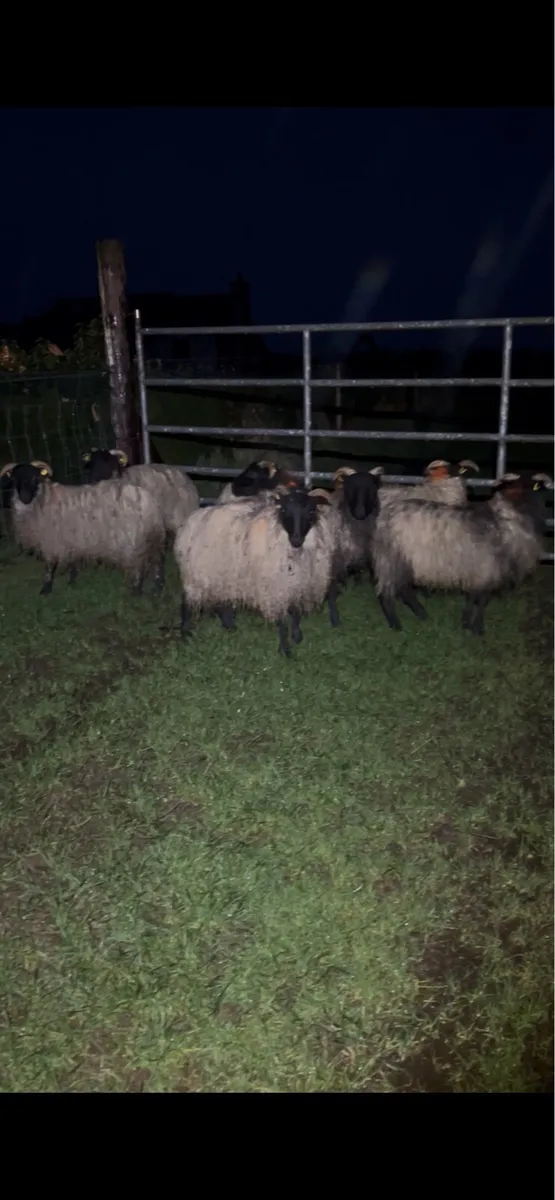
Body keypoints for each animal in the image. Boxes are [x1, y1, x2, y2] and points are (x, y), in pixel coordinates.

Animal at [0, 459, 166, 596]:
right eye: (14, 479)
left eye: (35, 479)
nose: (24, 498)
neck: (43, 500)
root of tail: (149, 500)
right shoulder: (71, 540)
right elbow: (72, 561)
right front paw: (72, 581)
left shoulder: (52, 541)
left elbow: (49, 565)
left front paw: (45, 589)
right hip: (150, 535)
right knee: (157, 559)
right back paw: (157, 588)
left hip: (133, 539)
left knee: (139, 564)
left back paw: (136, 591)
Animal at [173, 487, 340, 655]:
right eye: (284, 510)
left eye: (311, 511)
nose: (296, 540)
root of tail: (192, 520)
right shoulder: (275, 587)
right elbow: (282, 619)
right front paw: (285, 649)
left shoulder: (296, 583)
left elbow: (294, 612)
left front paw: (297, 636)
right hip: (197, 574)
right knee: (186, 601)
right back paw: (186, 632)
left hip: (223, 574)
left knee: (222, 602)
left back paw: (230, 627)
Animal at [364, 469, 553, 635]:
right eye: (518, 487)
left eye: (535, 488)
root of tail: (383, 517)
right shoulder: (487, 569)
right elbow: (482, 600)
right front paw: (477, 628)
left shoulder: (478, 572)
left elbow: (473, 598)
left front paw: (467, 622)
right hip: (392, 558)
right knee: (388, 594)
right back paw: (397, 625)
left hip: (403, 560)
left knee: (404, 590)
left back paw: (421, 614)